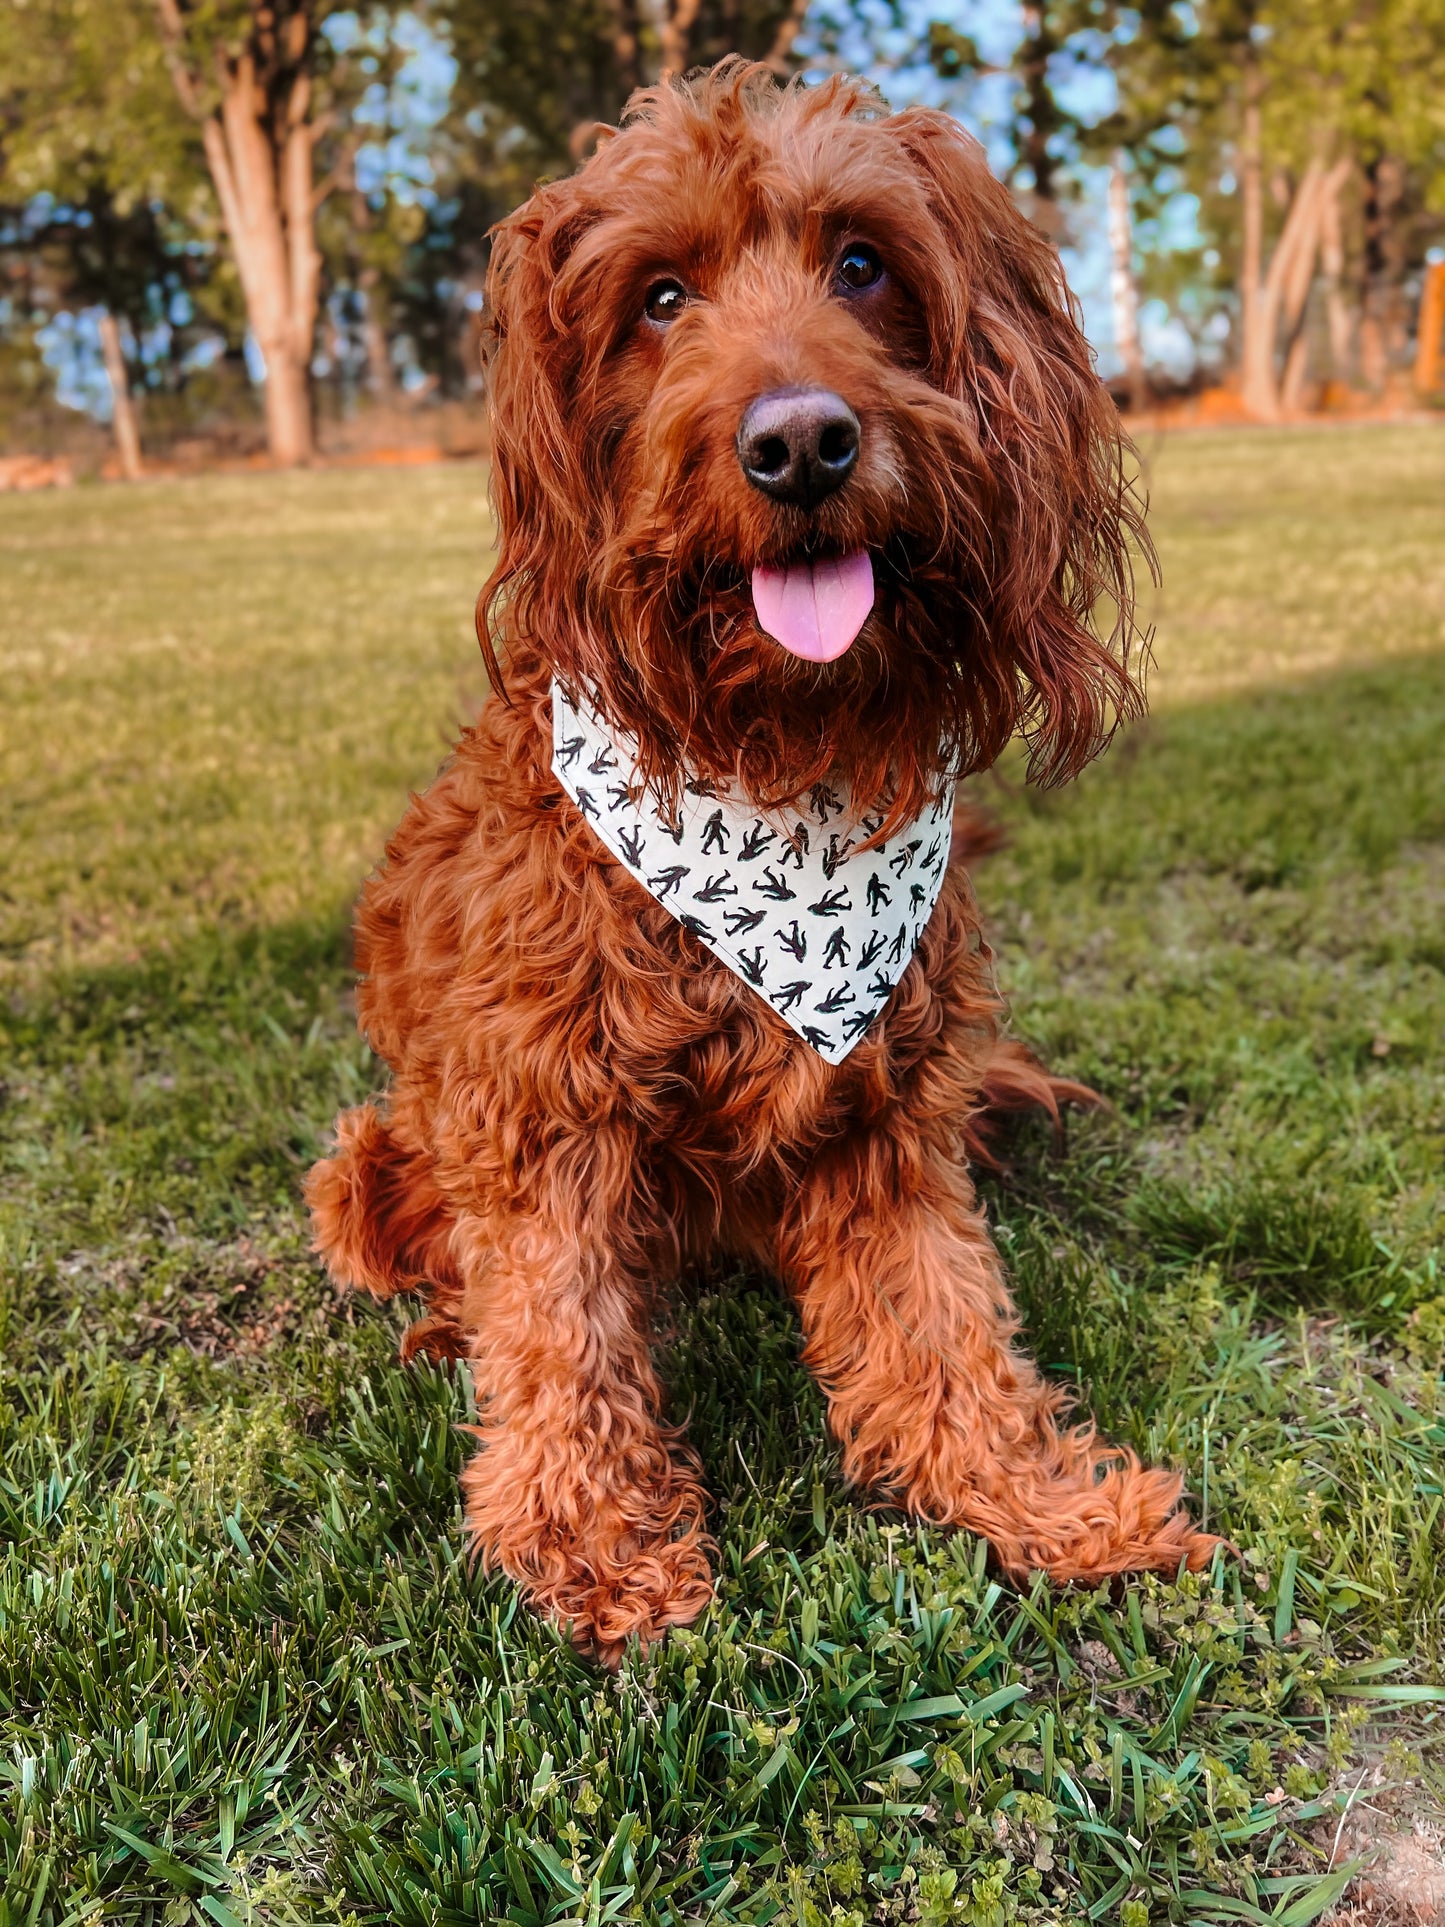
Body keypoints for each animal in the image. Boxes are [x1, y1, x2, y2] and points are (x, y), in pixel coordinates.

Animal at [308, 56, 1225, 1657]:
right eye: (660, 297)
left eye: (861, 262)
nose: (800, 441)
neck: (772, 752)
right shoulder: (539, 1114)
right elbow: (558, 1334)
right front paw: (595, 1544)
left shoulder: (890, 1107)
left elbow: (943, 1315)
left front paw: (1034, 1497)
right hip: (366, 1163)